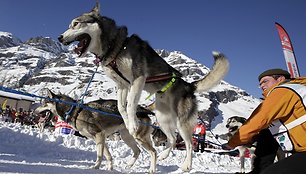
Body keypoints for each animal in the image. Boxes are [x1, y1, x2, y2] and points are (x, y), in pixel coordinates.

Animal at [58, 2, 230, 172]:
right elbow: (121, 107)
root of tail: (189, 86)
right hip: (162, 119)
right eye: (69, 25)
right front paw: (128, 123)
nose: (60, 37)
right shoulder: (122, 85)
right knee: (173, 138)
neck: (116, 47)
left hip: (182, 122)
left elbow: (130, 105)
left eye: (76, 24)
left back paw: (187, 165)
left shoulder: (138, 79)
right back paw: (163, 155)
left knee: (188, 144)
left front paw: (133, 124)